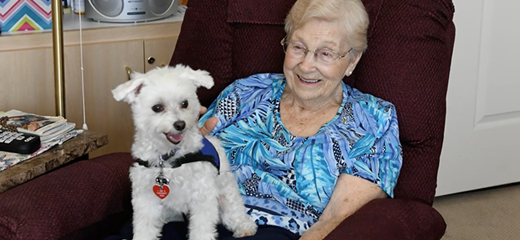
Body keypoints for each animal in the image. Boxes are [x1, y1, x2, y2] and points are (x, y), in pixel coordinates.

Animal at [112, 64, 258, 240]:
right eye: (157, 108)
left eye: (185, 103)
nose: (180, 124)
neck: (168, 157)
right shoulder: (146, 198)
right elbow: (145, 227)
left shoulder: (202, 195)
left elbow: (201, 228)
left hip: (227, 196)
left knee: (235, 212)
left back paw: (244, 227)